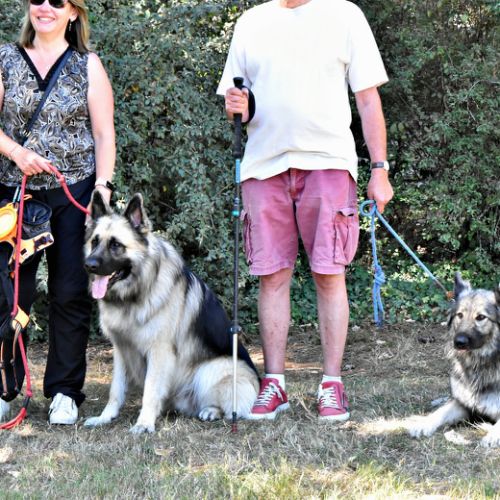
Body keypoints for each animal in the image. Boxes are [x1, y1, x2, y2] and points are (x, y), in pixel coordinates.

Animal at [83, 191, 259, 433]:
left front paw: (144, 423)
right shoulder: (121, 350)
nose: (88, 264)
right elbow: (115, 390)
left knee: (228, 406)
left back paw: (211, 411)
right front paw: (105, 417)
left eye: (116, 245)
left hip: (211, 370)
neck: (135, 294)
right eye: (95, 241)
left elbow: (150, 390)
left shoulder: (159, 351)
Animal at [407, 273, 500, 447]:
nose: (459, 342)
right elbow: (441, 412)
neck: (477, 363)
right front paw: (423, 423)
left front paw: (493, 435)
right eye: (460, 315)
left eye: (481, 317)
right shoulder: (463, 404)